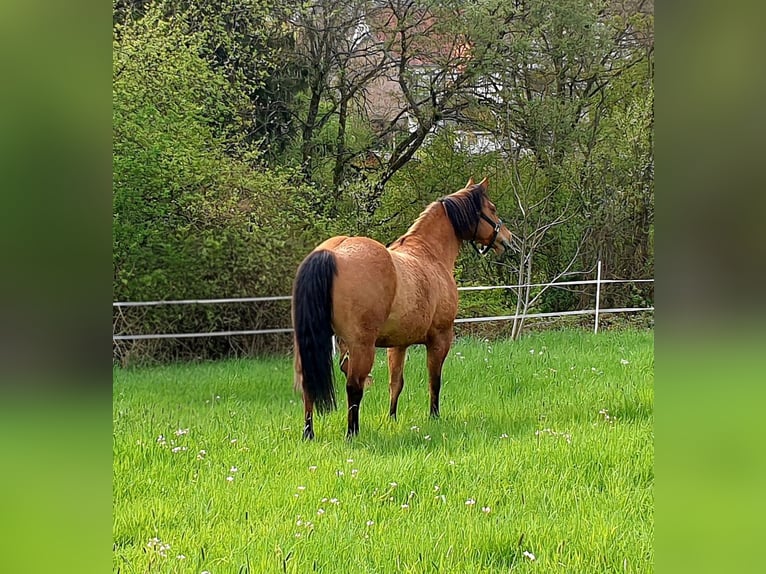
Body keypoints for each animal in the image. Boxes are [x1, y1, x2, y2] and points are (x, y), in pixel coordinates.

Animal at [291, 177, 513, 439]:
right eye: (492, 208)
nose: (508, 239)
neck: (429, 254)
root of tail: (331, 252)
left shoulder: (398, 344)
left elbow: (395, 383)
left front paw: (392, 418)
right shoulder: (440, 338)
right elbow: (434, 379)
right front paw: (434, 416)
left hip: (309, 344)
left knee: (308, 384)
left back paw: (308, 433)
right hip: (362, 346)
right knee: (354, 386)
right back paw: (352, 433)